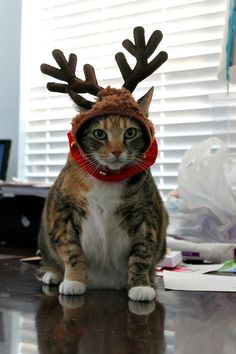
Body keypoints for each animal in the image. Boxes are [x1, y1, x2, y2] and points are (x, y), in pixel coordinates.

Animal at [37, 88, 168, 302]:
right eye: (99, 133)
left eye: (130, 132)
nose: (116, 151)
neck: (109, 178)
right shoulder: (64, 211)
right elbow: (71, 249)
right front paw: (74, 281)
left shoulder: (146, 214)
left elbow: (142, 253)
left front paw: (140, 286)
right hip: (43, 235)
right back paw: (53, 274)